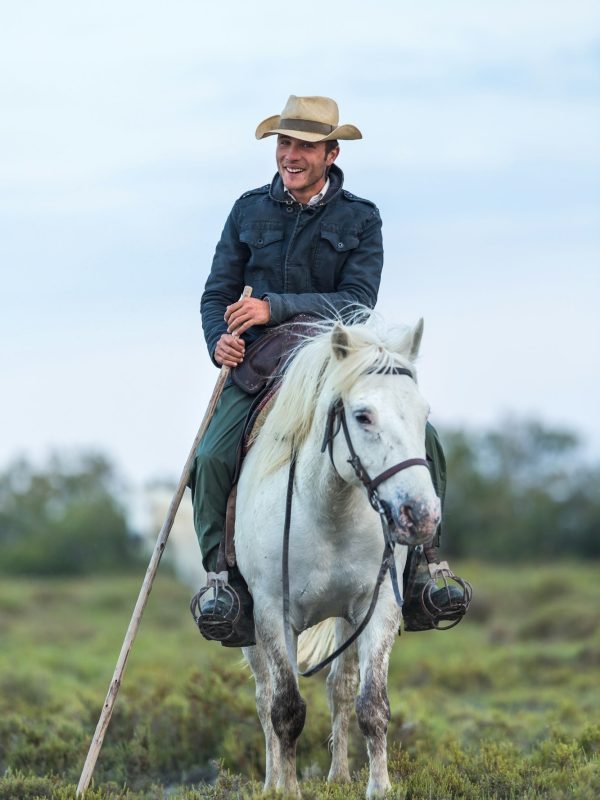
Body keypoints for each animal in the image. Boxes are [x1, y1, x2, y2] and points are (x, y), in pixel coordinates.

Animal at [234, 316, 440, 796]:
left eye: (423, 414)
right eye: (363, 415)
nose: (421, 515)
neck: (328, 509)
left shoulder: (376, 608)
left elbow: (372, 704)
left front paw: (379, 787)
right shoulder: (273, 613)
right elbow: (286, 709)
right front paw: (288, 791)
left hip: (346, 619)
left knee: (340, 687)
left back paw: (339, 775)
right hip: (250, 630)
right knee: (264, 696)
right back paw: (272, 781)